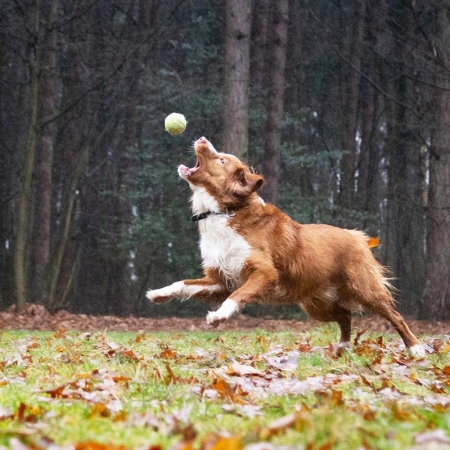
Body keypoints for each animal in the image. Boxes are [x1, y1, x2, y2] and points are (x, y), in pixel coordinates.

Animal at [148, 137, 426, 358]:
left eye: (222, 159)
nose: (202, 138)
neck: (224, 211)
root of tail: (356, 236)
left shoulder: (263, 273)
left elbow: (235, 297)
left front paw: (218, 317)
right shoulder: (220, 279)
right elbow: (184, 284)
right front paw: (159, 293)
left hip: (365, 290)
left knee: (395, 316)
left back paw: (415, 349)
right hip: (316, 304)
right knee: (345, 316)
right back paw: (344, 347)